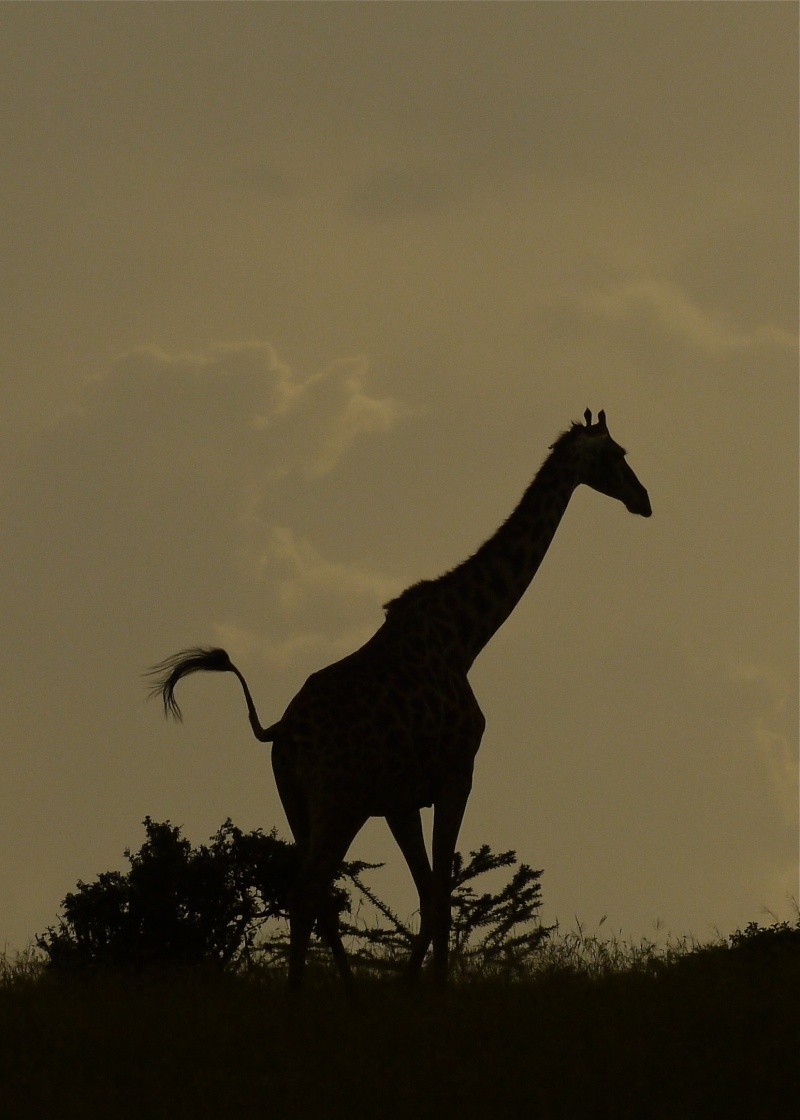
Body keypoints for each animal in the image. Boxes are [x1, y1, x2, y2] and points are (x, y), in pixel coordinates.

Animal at [147, 407, 649, 985]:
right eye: (617, 454)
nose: (644, 499)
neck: (464, 637)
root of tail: (280, 732)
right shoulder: (457, 774)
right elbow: (441, 900)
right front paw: (428, 988)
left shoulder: (400, 799)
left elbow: (429, 895)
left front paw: (411, 986)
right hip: (337, 803)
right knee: (307, 892)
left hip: (297, 802)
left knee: (316, 897)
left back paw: (345, 990)